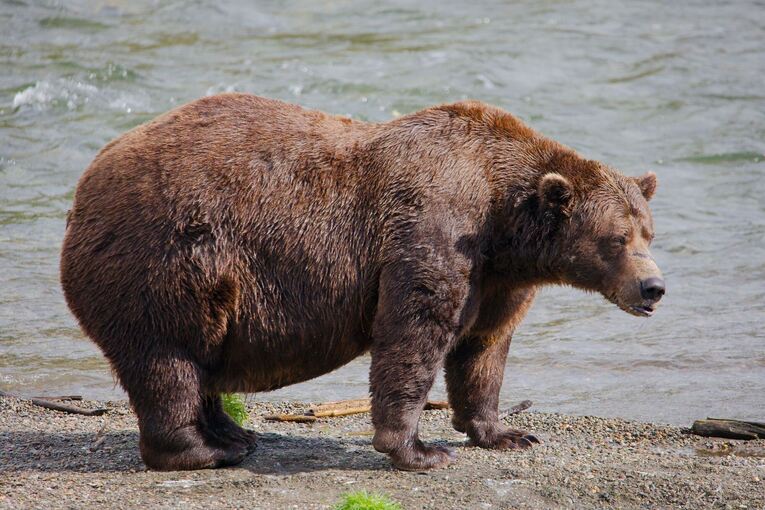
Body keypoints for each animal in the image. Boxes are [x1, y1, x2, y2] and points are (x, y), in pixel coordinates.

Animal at [60, 94, 665, 471]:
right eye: (616, 238)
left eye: (649, 232)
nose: (653, 288)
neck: (504, 221)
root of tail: (83, 188)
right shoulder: (434, 229)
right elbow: (414, 332)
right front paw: (419, 450)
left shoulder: (497, 278)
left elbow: (483, 348)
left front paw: (506, 433)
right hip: (165, 260)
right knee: (168, 359)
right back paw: (203, 450)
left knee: (199, 360)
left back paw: (234, 434)